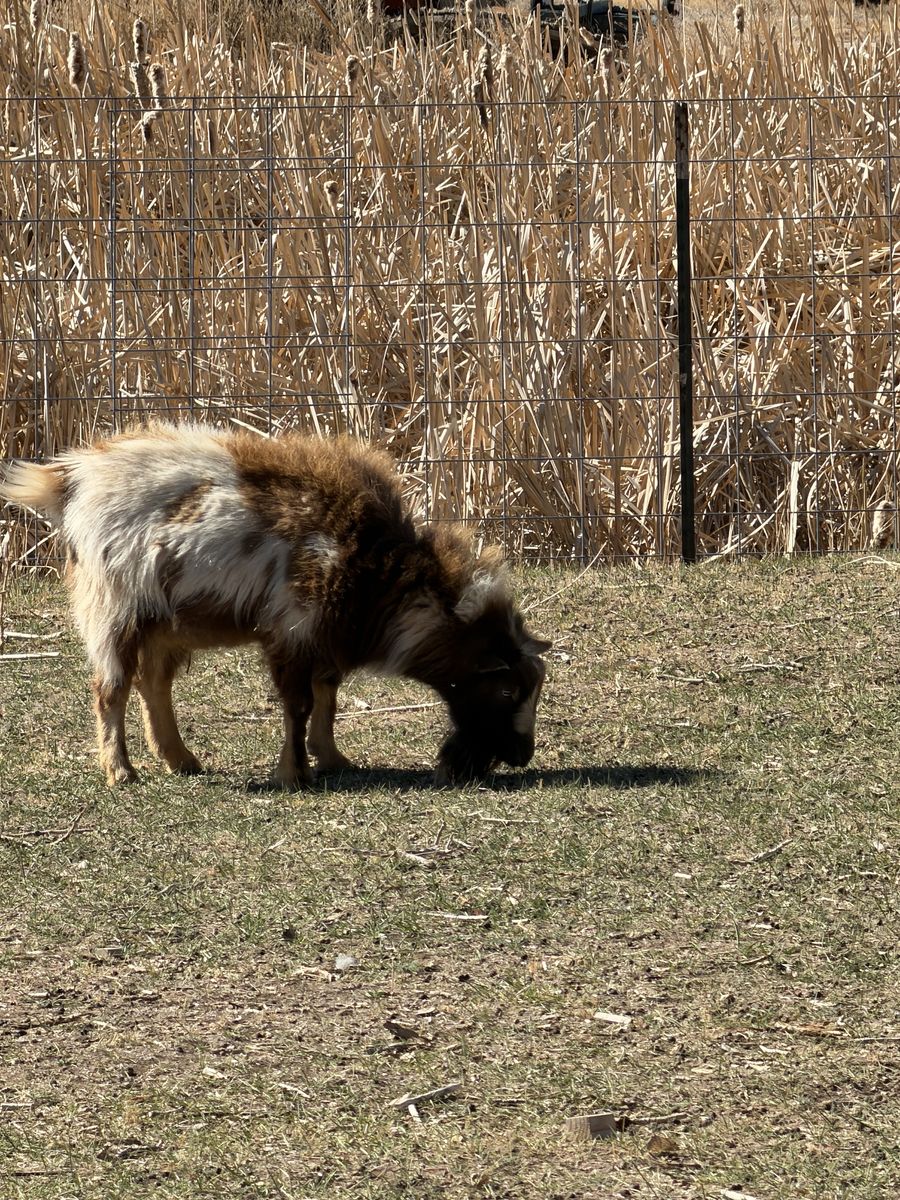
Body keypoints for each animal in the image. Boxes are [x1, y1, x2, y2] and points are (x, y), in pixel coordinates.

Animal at [0, 425, 551, 788]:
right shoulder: (293, 631)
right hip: (114, 609)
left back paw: (181, 759)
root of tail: (75, 478)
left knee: (153, 684)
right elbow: (299, 704)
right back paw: (121, 771)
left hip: (164, 622)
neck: (380, 571)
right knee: (110, 689)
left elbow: (328, 698)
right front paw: (293, 773)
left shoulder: (325, 638)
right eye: (505, 689)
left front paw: (332, 759)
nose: (521, 755)